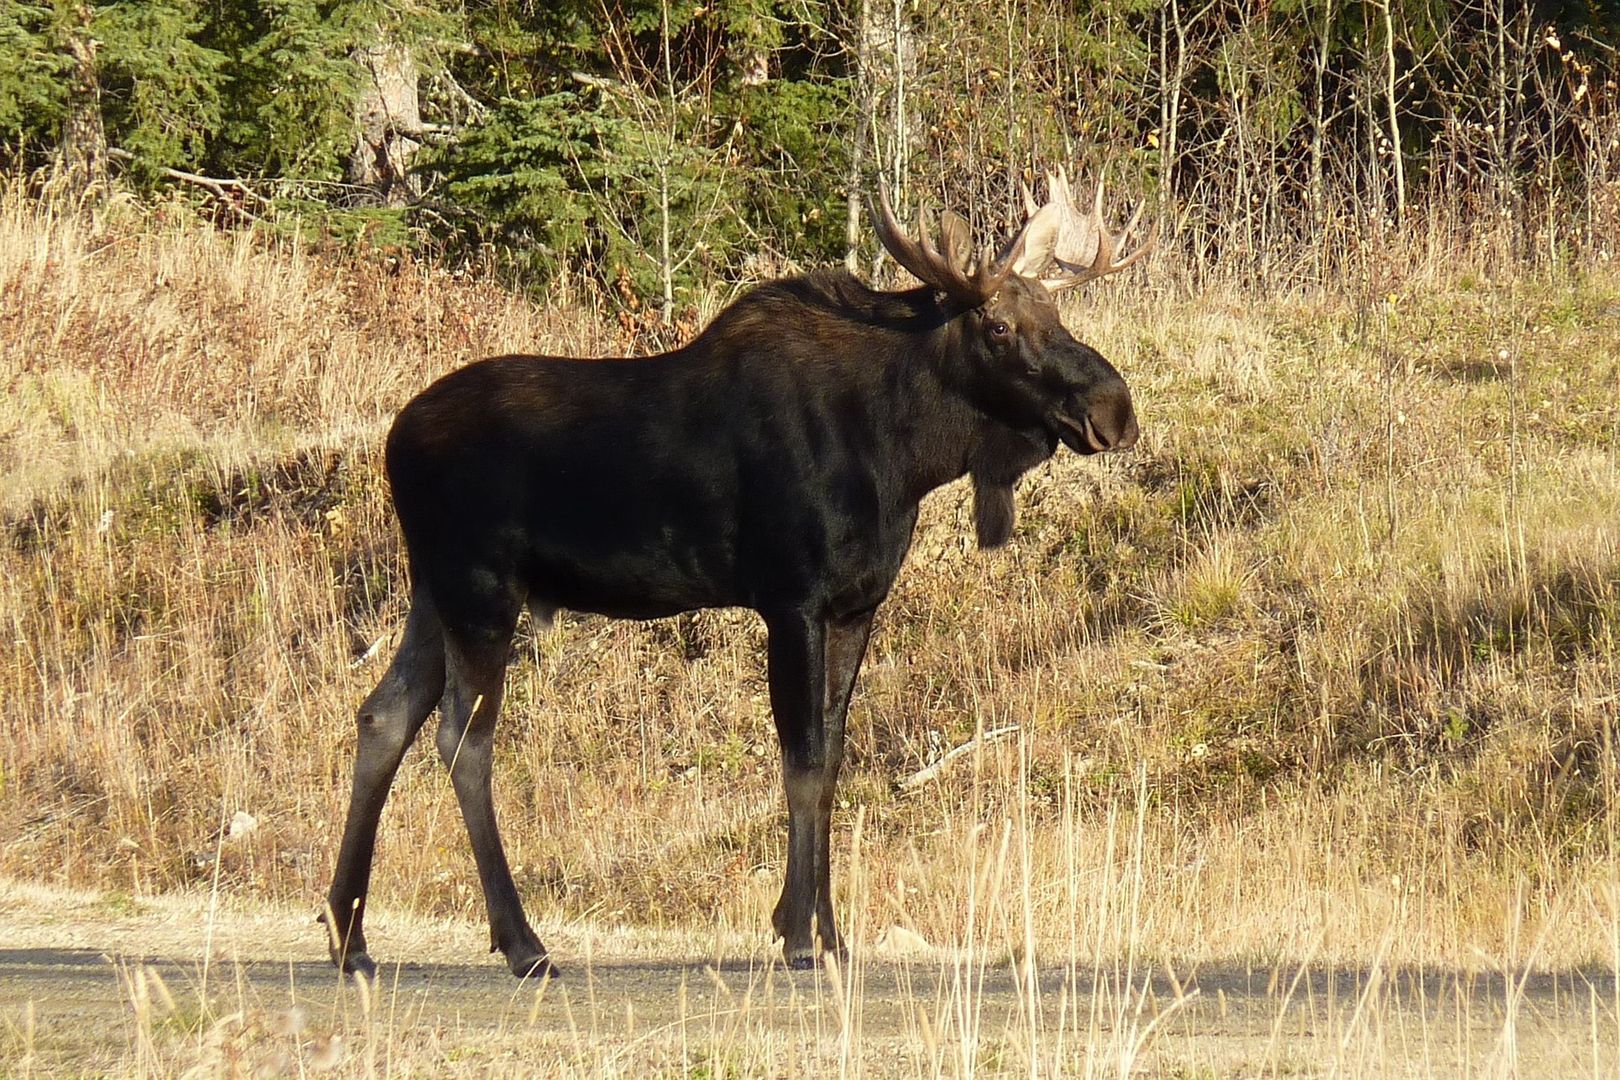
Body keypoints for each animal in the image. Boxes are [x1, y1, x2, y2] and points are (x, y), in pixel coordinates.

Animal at [319, 169, 1153, 977]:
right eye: (998, 327)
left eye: (1056, 310)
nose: (1114, 407)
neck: (903, 454)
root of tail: (393, 440)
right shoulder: (790, 598)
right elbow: (803, 760)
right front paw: (798, 935)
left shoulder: (856, 604)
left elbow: (834, 757)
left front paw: (828, 933)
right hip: (481, 587)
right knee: (463, 738)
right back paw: (522, 943)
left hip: (432, 591)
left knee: (383, 715)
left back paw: (350, 936)